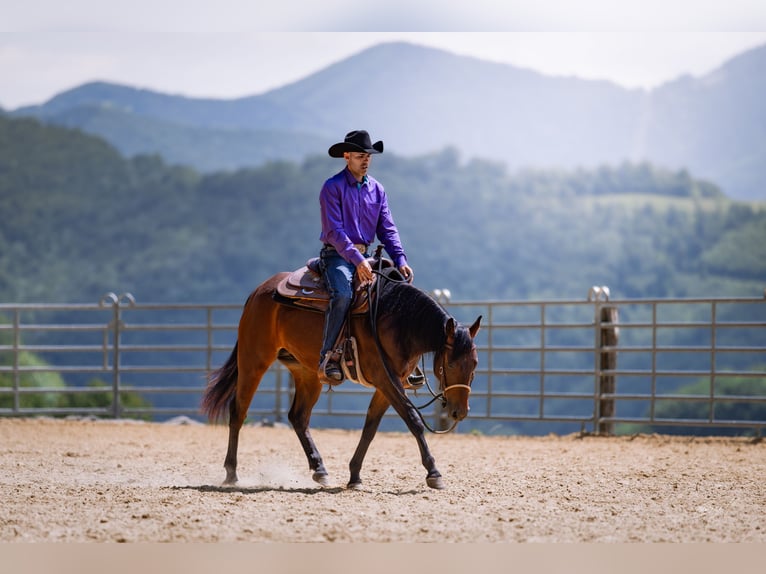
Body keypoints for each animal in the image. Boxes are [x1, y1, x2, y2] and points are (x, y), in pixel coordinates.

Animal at [201, 266, 482, 490]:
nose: (459, 412)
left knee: (298, 417)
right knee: (238, 411)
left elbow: (370, 427)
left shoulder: (388, 384)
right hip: (253, 361)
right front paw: (434, 473)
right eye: (451, 363)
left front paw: (355, 475)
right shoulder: (386, 379)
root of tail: (259, 291)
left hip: (307, 373)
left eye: (475, 364)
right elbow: (413, 420)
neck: (397, 320)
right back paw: (231, 473)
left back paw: (320, 470)